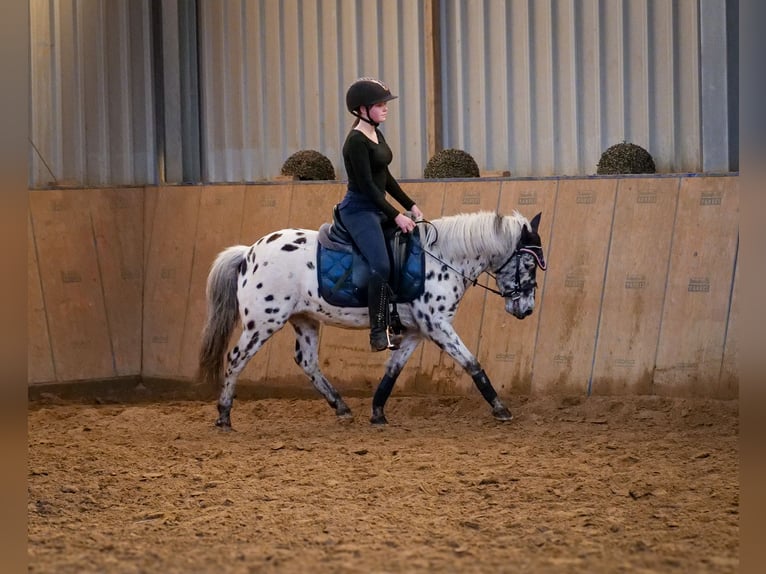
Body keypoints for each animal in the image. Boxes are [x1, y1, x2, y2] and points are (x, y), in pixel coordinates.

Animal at [198, 209, 544, 430]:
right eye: (528, 264)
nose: (527, 309)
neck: (444, 258)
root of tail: (249, 253)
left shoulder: (418, 331)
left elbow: (393, 369)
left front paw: (377, 412)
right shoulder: (437, 325)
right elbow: (471, 362)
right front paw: (501, 409)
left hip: (304, 318)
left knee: (307, 362)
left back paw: (341, 407)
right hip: (263, 321)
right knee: (236, 358)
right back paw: (224, 416)